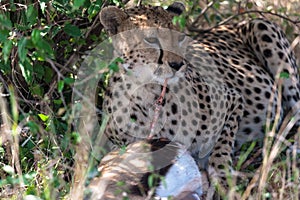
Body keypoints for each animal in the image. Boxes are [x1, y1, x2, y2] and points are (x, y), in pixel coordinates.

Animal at [99, 1, 300, 195]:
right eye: (151, 39)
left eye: (179, 38)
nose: (178, 64)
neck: (148, 93)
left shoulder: (233, 99)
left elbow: (221, 149)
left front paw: (224, 179)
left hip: (262, 26)